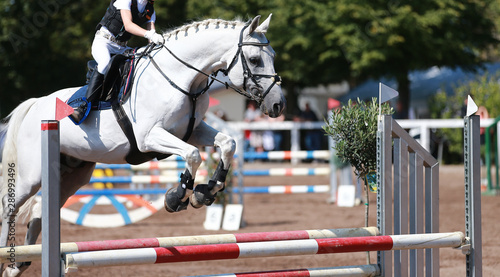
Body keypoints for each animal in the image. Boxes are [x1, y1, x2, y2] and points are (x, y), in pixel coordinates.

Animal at [0, 14, 284, 274]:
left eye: (272, 55)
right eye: (255, 60)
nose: (278, 105)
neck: (183, 79)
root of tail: (35, 104)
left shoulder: (192, 131)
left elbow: (227, 144)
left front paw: (205, 192)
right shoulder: (150, 137)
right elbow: (193, 155)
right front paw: (176, 197)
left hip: (71, 175)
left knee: (39, 211)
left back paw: (19, 265)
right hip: (31, 175)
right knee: (9, 207)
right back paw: (8, 256)